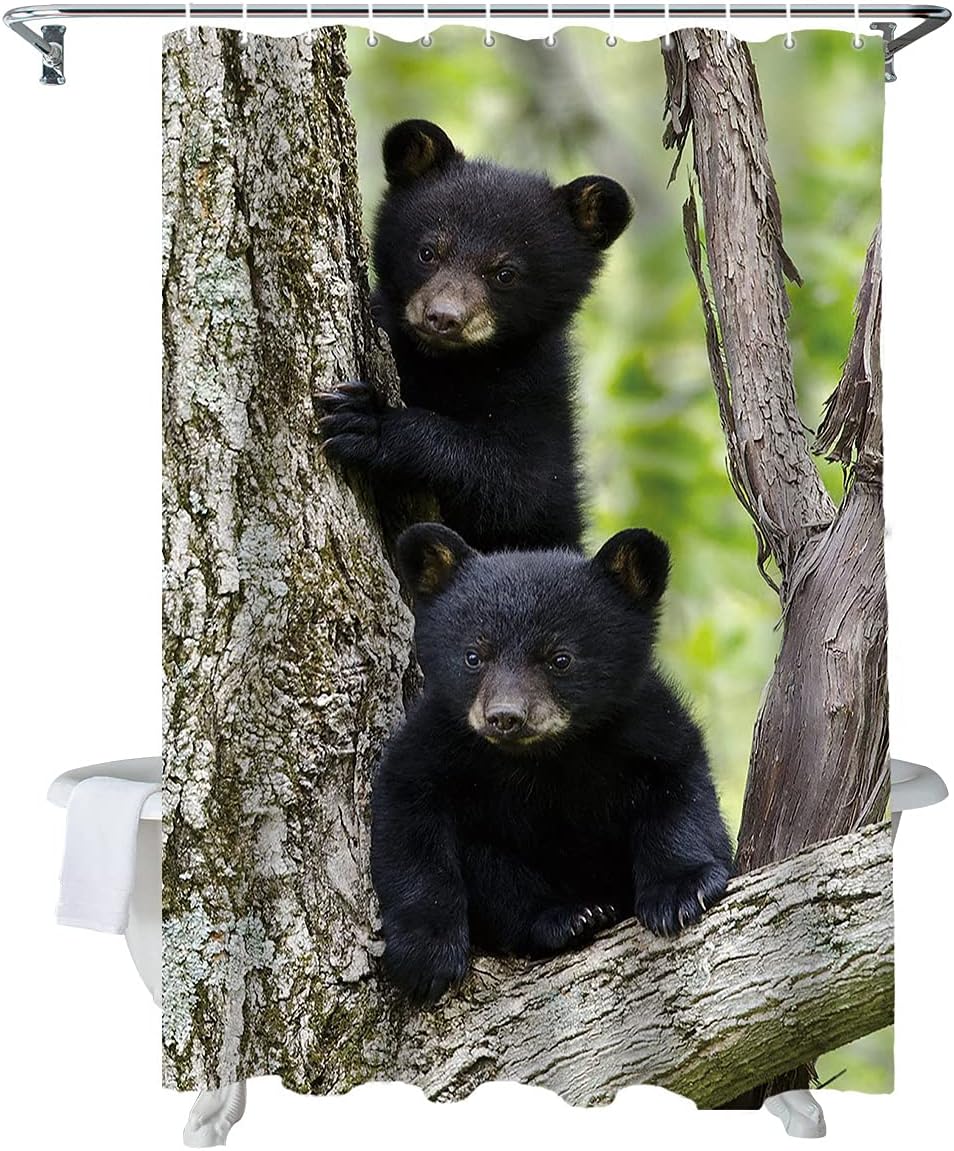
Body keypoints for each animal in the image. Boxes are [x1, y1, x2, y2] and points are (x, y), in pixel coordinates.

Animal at [317, 119, 633, 552]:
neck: (448, 365)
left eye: (505, 273)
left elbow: (518, 484)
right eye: (428, 252)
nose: (443, 317)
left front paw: (369, 423)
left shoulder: (538, 396)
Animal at [370, 522, 734, 1005]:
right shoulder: (440, 740)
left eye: (560, 658)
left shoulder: (645, 724)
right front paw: (425, 954)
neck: (545, 758)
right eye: (474, 655)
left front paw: (680, 892)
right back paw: (569, 916)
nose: (506, 716)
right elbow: (408, 813)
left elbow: (680, 787)